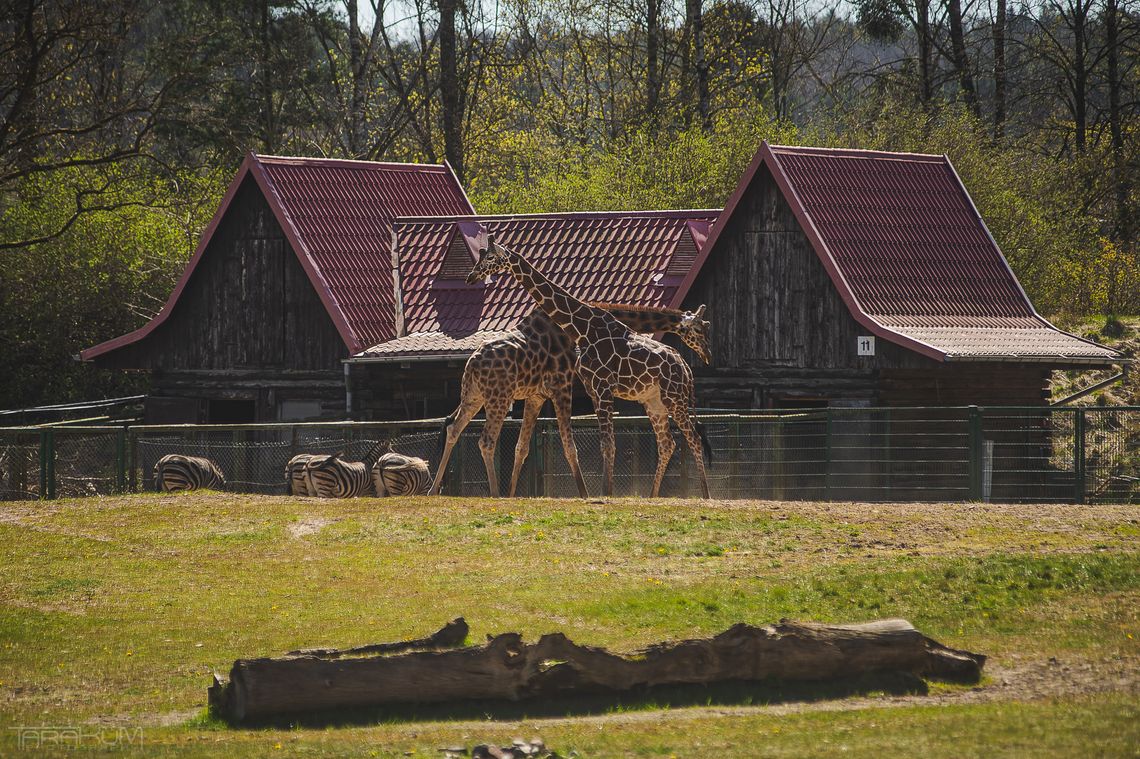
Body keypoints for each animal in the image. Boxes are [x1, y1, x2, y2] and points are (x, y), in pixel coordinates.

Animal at [430, 300, 706, 496]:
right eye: (700, 330)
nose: (705, 354)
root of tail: (472, 363)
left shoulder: (537, 395)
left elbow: (522, 447)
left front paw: (512, 493)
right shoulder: (562, 386)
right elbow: (569, 445)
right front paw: (584, 493)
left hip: (473, 396)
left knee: (454, 428)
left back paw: (434, 490)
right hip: (499, 397)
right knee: (485, 440)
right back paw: (493, 493)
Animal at [467, 237, 706, 496]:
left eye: (490, 257)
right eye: (482, 256)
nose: (471, 276)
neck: (582, 329)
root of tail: (686, 369)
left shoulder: (593, 389)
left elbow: (602, 444)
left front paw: (603, 493)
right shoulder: (590, 390)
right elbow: (600, 444)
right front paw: (604, 491)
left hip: (673, 399)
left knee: (692, 439)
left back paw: (704, 495)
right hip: (655, 402)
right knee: (669, 443)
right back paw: (655, 496)